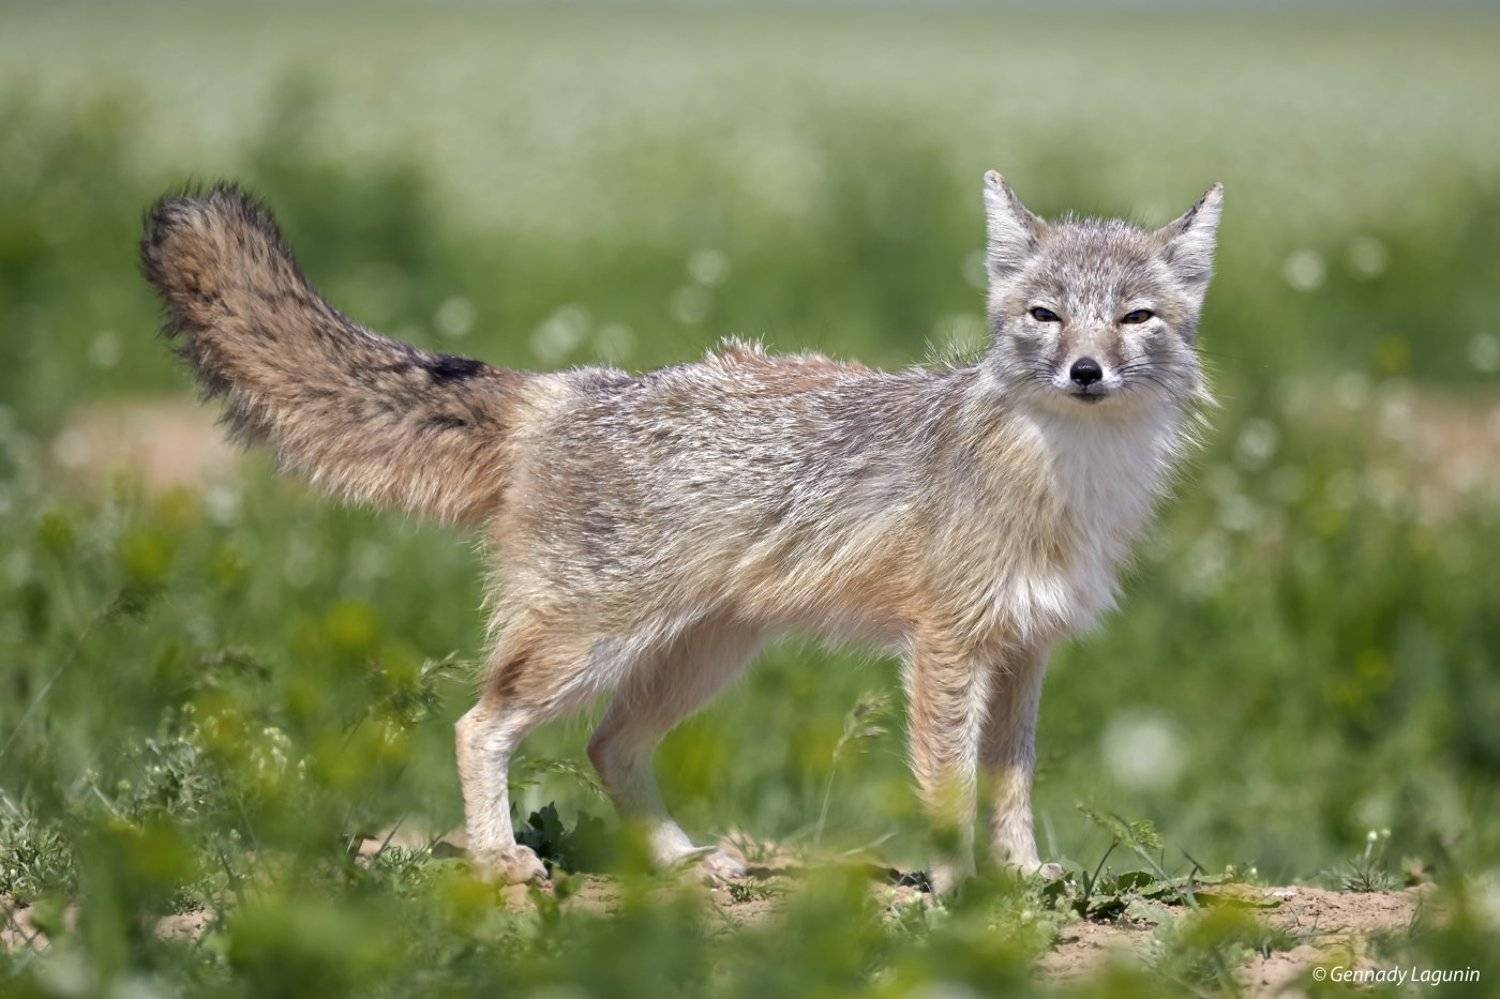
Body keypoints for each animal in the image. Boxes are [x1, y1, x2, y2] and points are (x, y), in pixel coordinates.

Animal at [140, 172, 1221, 893]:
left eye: (1134, 318)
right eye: (1045, 315)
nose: (1086, 371)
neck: (1066, 482)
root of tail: (569, 390)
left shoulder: (1027, 651)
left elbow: (1010, 788)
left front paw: (1027, 881)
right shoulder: (946, 649)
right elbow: (949, 790)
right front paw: (960, 894)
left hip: (701, 659)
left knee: (608, 748)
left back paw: (678, 862)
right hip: (589, 647)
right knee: (479, 725)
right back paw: (500, 856)